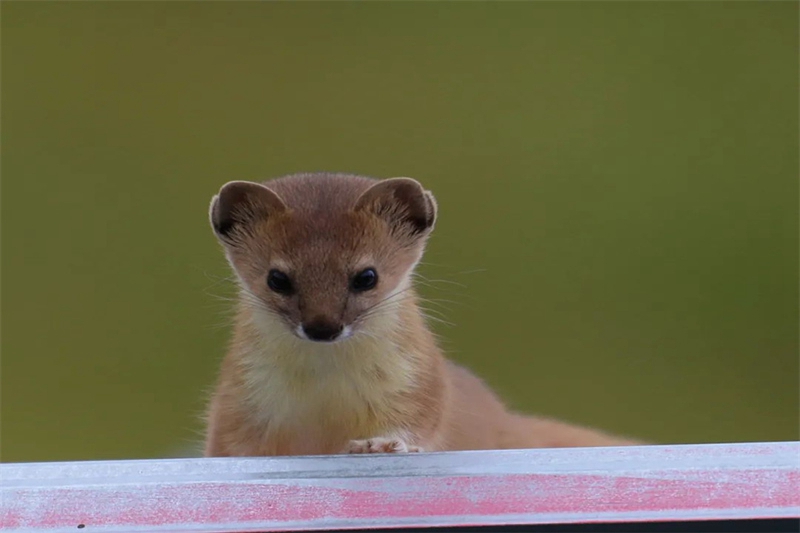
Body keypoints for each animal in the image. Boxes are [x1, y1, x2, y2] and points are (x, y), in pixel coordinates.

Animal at [203, 172, 640, 456]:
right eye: (276, 278)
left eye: (367, 276)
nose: (322, 326)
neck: (325, 400)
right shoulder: (233, 406)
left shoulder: (422, 384)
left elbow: (421, 421)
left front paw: (379, 442)